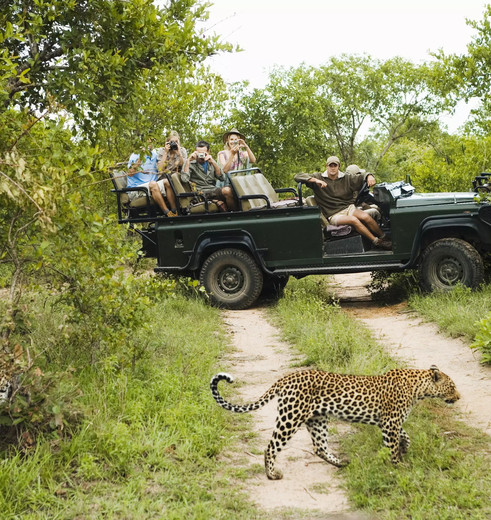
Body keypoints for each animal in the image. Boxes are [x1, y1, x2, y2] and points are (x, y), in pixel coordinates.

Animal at [211, 366, 462, 480]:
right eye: (452, 387)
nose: (459, 397)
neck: (418, 388)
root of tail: (285, 378)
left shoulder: (389, 423)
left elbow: (405, 435)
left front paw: (405, 448)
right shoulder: (390, 423)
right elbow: (392, 447)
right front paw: (398, 467)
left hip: (317, 419)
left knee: (319, 447)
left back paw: (341, 463)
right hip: (290, 417)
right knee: (271, 447)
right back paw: (272, 474)